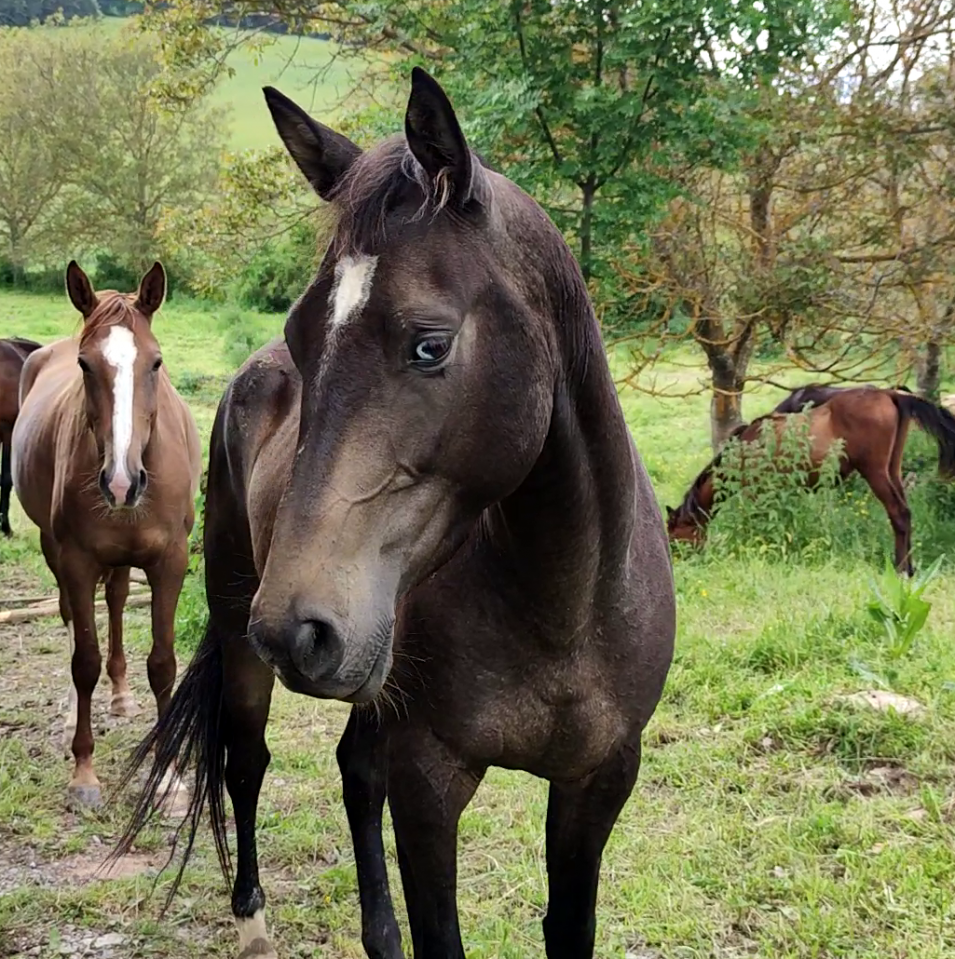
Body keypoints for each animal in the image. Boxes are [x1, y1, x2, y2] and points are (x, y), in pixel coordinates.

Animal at [12, 262, 201, 808]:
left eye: (156, 363)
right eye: (84, 365)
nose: (121, 483)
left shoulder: (170, 563)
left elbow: (162, 663)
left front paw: (168, 778)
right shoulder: (76, 561)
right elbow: (84, 662)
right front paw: (84, 773)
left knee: (116, 599)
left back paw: (120, 695)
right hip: (55, 551)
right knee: (75, 616)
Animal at [115, 69, 676, 959]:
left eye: (429, 344)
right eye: (301, 336)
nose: (298, 628)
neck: (563, 606)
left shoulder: (598, 782)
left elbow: (568, 924)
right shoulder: (430, 783)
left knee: (353, 767)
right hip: (242, 632)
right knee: (247, 760)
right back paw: (252, 917)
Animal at [666, 387, 955, 574]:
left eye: (673, 533)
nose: (676, 560)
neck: (747, 445)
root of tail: (891, 394)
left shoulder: (756, 491)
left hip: (875, 472)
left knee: (899, 513)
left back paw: (901, 568)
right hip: (892, 470)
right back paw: (910, 566)